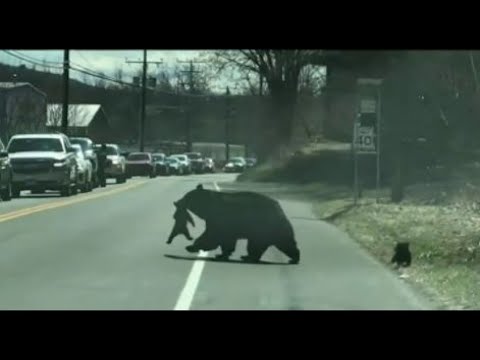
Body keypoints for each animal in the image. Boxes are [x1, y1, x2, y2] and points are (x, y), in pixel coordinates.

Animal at [172, 184, 300, 262]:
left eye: (186, 197)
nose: (176, 201)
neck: (208, 207)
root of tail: (280, 209)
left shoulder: (219, 218)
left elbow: (212, 235)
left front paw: (191, 246)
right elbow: (226, 240)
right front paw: (222, 254)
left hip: (267, 225)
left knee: (280, 242)